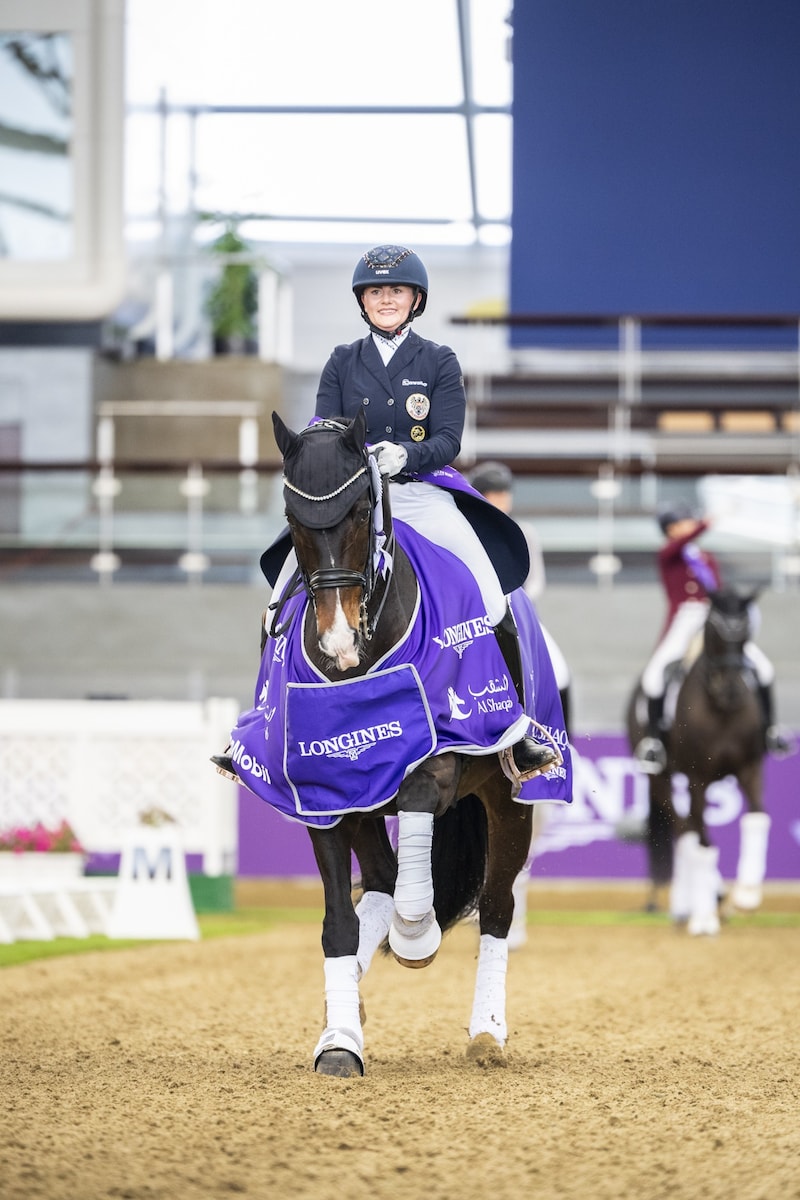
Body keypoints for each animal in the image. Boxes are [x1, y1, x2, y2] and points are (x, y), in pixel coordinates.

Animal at [231, 412, 568, 1080]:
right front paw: (340, 1037)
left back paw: (487, 1032)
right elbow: (339, 923)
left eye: (363, 508)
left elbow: (419, 841)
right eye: (291, 516)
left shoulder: (436, 767)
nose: (336, 641)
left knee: (495, 908)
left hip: (509, 799)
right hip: (366, 803)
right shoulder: (325, 791)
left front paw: (417, 937)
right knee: (385, 880)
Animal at [628, 588, 772, 936]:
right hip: (660, 779)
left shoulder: (750, 768)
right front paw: (705, 918)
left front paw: (747, 894)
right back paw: (696, 904)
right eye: (714, 630)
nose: (731, 689)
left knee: (689, 829)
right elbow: (704, 843)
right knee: (686, 831)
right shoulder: (698, 777)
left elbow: (758, 817)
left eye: (745, 631)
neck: (721, 710)